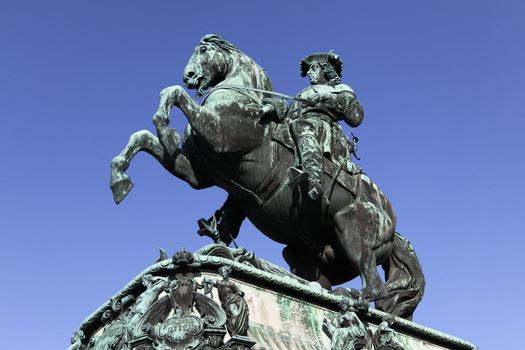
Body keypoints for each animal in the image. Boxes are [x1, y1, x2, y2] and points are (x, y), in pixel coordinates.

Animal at [108, 34, 424, 318]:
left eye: (203, 51)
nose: (189, 76)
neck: (243, 99)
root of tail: (393, 224)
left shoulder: (220, 135)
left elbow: (174, 95)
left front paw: (162, 117)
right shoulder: (195, 172)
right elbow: (143, 136)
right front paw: (119, 179)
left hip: (349, 227)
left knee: (374, 285)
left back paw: (350, 294)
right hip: (305, 253)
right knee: (315, 283)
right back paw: (255, 263)